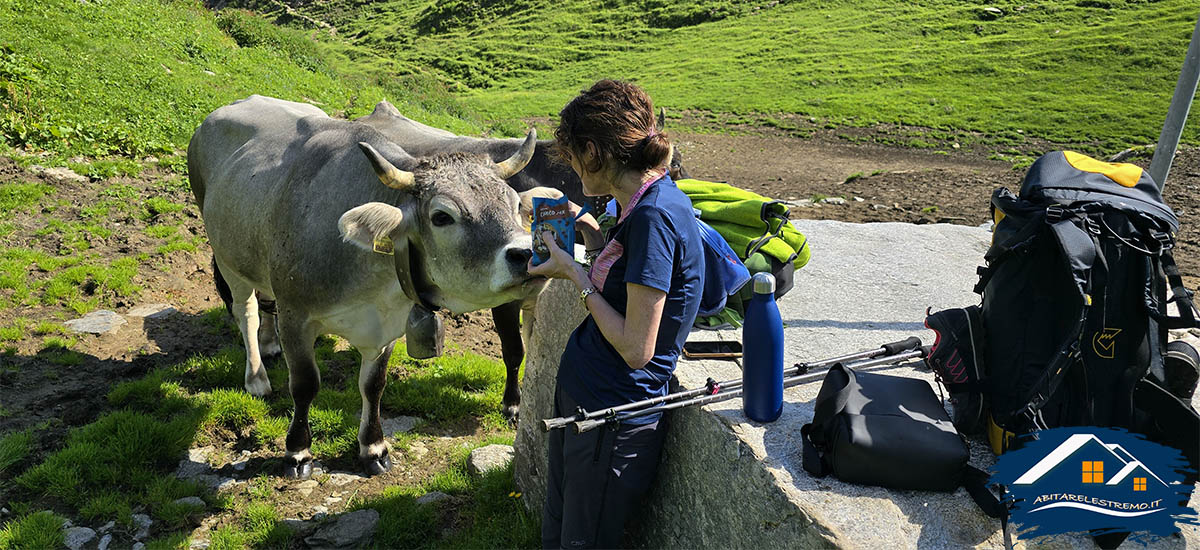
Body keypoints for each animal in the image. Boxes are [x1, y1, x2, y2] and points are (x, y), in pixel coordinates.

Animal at [187, 94, 549, 477]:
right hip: (227, 258)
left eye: (514, 205)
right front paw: (298, 452)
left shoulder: (385, 326)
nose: (528, 254)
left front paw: (373, 447)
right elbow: (304, 384)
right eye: (441, 216)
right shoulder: (296, 315)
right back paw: (256, 377)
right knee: (248, 312)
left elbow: (374, 386)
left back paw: (270, 345)